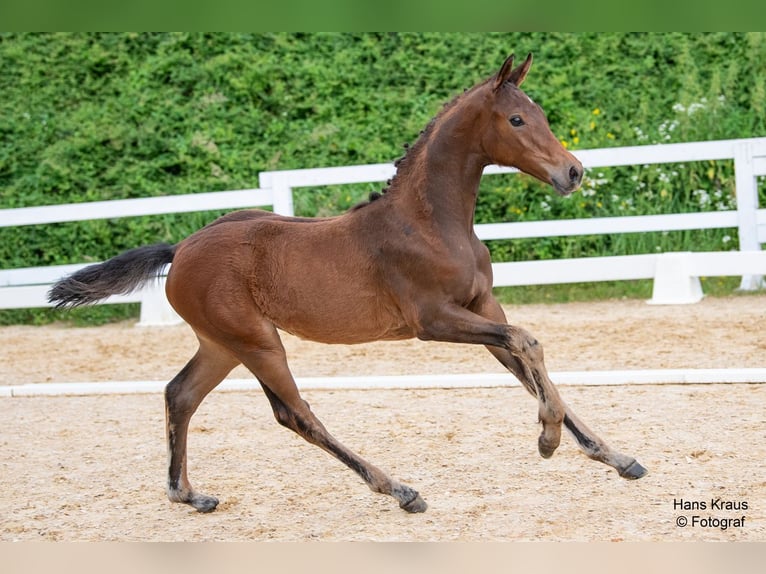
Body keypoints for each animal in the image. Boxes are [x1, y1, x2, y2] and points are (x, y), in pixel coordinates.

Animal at [48, 54, 648, 516]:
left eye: (540, 114)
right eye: (518, 119)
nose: (573, 173)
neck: (430, 222)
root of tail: (182, 249)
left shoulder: (484, 309)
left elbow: (527, 366)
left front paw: (616, 458)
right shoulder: (434, 320)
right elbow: (529, 343)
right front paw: (547, 440)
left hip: (221, 343)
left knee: (181, 394)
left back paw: (189, 495)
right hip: (256, 340)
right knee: (293, 414)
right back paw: (400, 489)